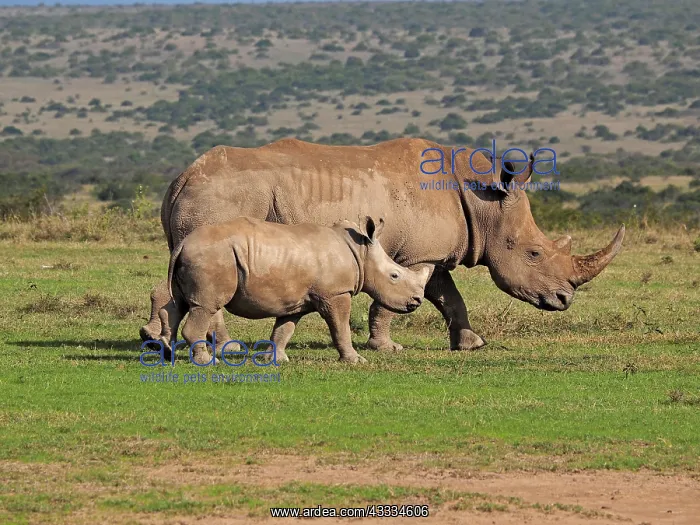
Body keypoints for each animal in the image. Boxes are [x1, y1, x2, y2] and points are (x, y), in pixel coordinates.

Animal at [164, 216, 429, 364]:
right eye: (394, 276)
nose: (416, 301)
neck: (361, 253)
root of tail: (183, 243)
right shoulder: (336, 293)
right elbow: (341, 327)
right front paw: (356, 360)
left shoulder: (294, 300)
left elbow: (284, 329)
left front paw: (275, 359)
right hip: (212, 257)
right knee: (205, 306)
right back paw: (206, 360)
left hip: (198, 256)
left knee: (177, 304)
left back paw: (166, 354)